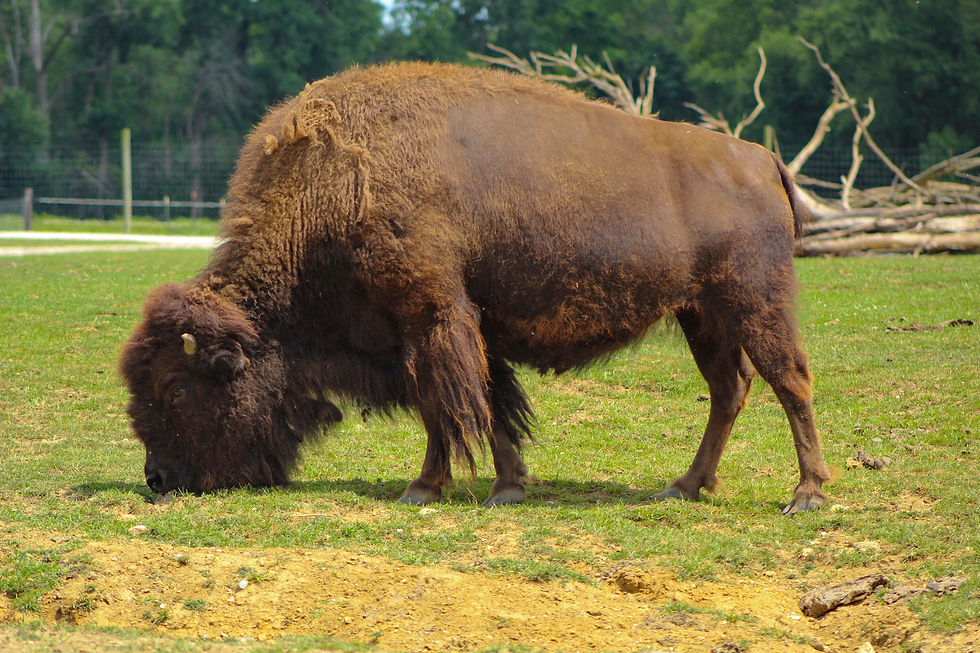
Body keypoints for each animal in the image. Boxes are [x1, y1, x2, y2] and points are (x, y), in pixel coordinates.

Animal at [120, 62, 833, 513]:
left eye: (177, 388)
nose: (159, 478)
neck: (336, 185)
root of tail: (763, 158)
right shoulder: (455, 326)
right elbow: (485, 402)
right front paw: (507, 485)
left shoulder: (428, 315)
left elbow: (445, 404)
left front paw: (426, 487)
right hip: (701, 314)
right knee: (731, 387)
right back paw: (686, 485)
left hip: (755, 301)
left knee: (790, 379)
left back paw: (807, 496)